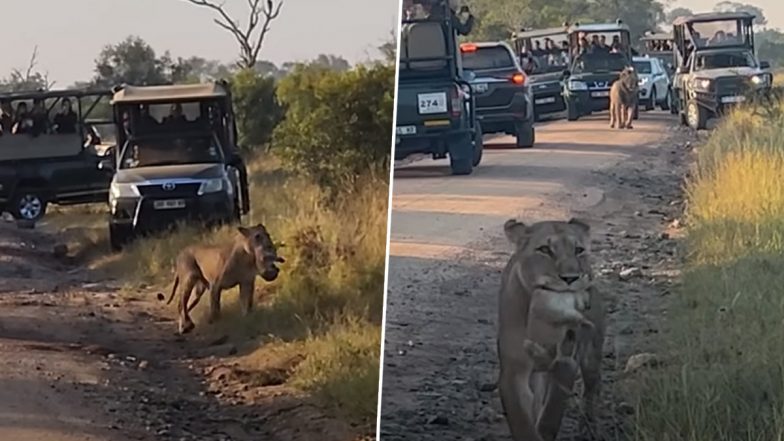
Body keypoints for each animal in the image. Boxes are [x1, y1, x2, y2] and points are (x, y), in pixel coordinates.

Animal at [500, 218, 604, 438]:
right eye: (545, 249)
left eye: (579, 250)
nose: (571, 278)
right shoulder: (513, 370)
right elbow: (521, 419)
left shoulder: (566, 363)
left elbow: (552, 410)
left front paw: (545, 430)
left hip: (592, 354)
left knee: (592, 387)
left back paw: (588, 427)